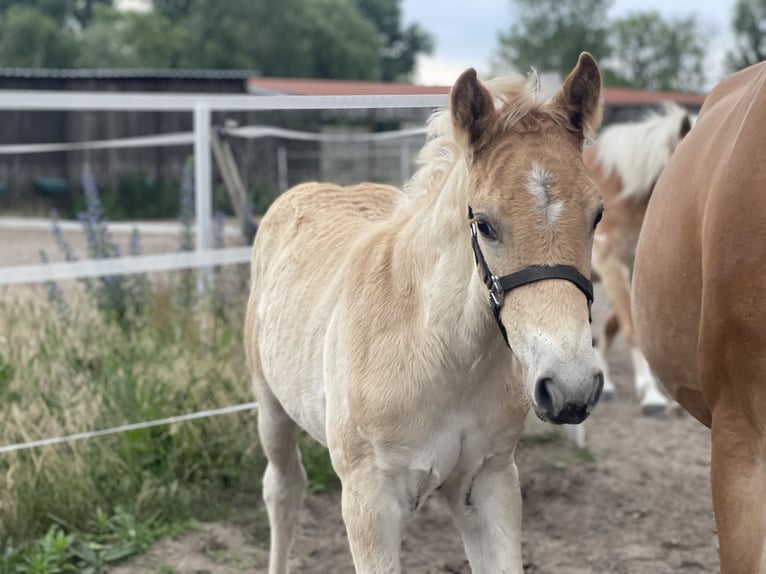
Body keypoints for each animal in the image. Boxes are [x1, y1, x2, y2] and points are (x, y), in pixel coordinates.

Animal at [246, 51, 608, 572]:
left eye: (597, 214)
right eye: (484, 223)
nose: (570, 387)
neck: (439, 353)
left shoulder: (490, 485)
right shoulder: (369, 503)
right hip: (270, 406)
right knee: (283, 490)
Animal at [584, 103, 696, 416]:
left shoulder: (632, 269)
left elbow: (614, 324)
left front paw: (610, 383)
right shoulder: (610, 266)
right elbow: (631, 327)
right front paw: (653, 397)